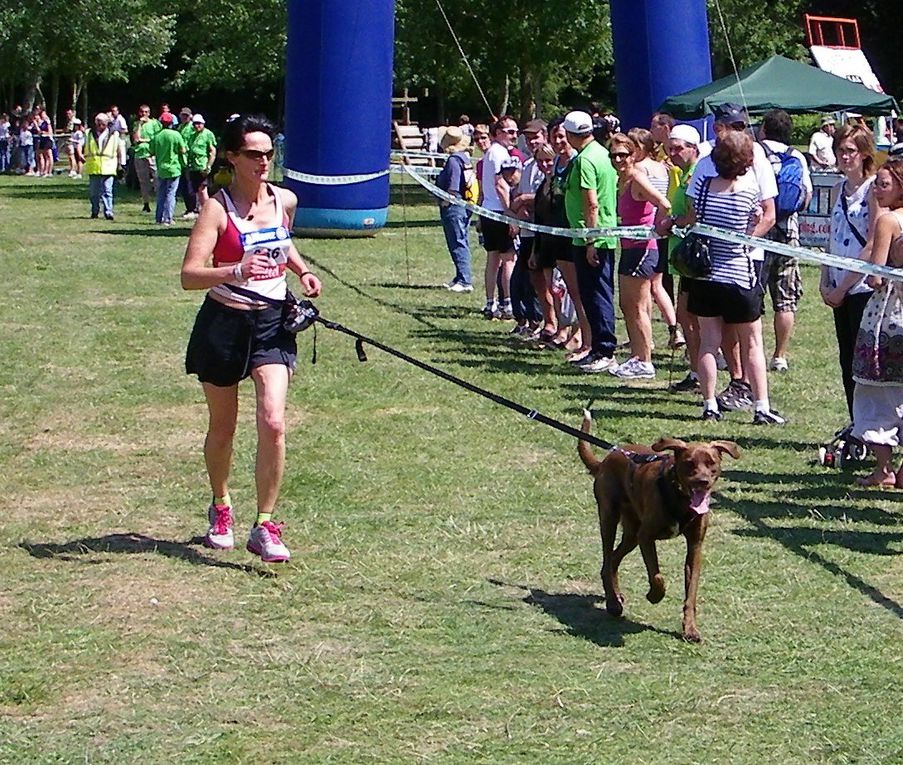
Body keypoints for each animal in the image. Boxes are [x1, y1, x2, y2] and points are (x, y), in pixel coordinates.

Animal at [580, 412, 740, 640]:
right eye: (689, 463)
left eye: (712, 463)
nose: (703, 481)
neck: (680, 498)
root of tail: (607, 458)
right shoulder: (647, 536)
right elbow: (656, 575)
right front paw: (654, 595)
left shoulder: (695, 546)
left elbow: (691, 592)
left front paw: (690, 629)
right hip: (609, 517)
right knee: (606, 559)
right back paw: (612, 603)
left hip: (632, 533)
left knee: (613, 560)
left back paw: (616, 595)